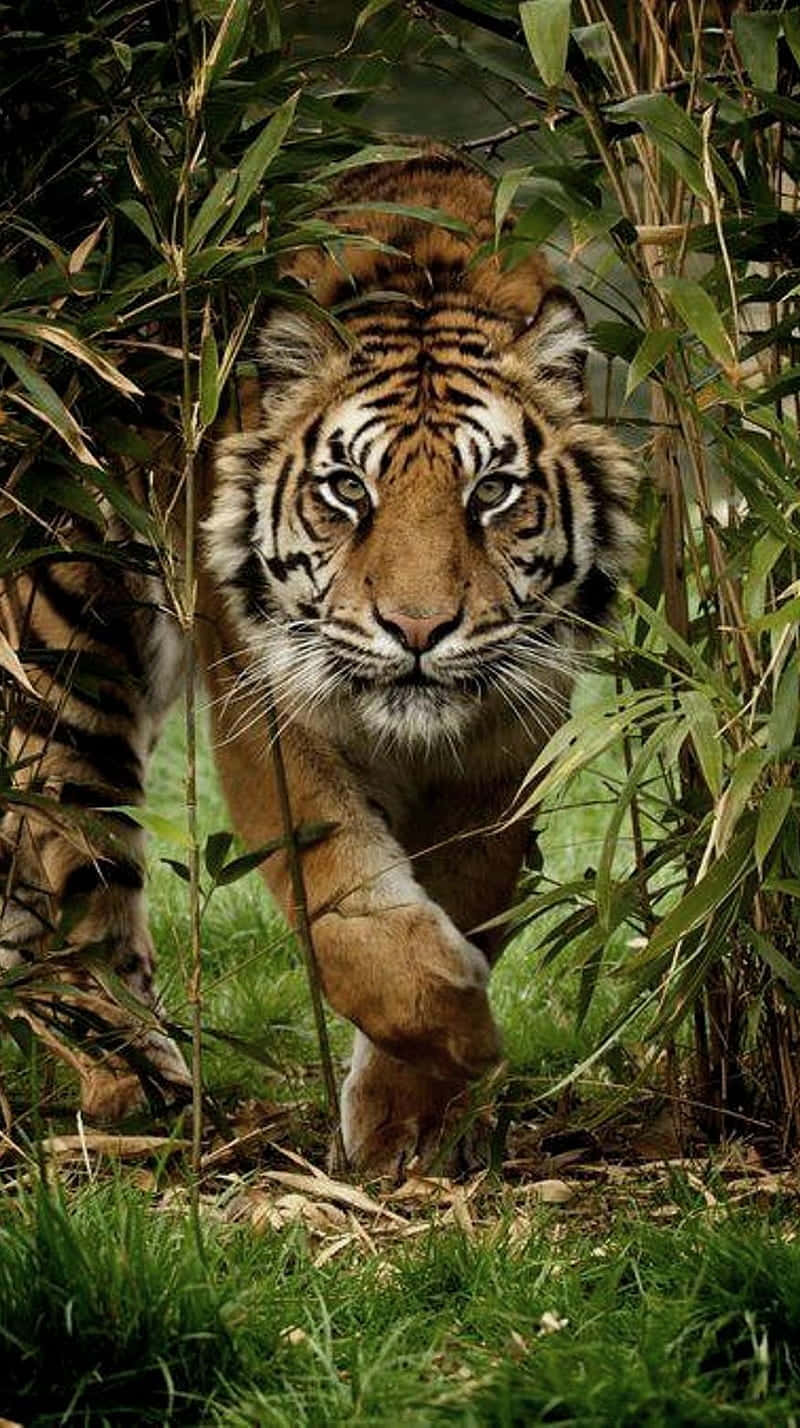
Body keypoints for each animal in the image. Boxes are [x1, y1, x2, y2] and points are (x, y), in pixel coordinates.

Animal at [0, 153, 637, 1170]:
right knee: (71, 872)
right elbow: (346, 905)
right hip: (68, 650)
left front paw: (406, 1123)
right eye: (347, 489)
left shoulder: (509, 733)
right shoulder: (267, 703)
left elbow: (469, 888)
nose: (418, 629)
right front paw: (463, 1036)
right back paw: (140, 1089)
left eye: (492, 492)